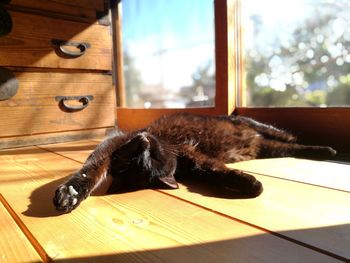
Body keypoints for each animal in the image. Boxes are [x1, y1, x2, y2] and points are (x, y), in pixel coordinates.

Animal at [52, 112, 336, 213]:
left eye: (150, 154)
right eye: (139, 158)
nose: (143, 140)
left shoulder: (113, 143)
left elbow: (90, 169)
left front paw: (71, 192)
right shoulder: (191, 156)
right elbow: (211, 170)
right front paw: (249, 184)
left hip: (258, 126)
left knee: (288, 136)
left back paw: (328, 149)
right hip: (270, 148)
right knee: (291, 148)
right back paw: (325, 151)